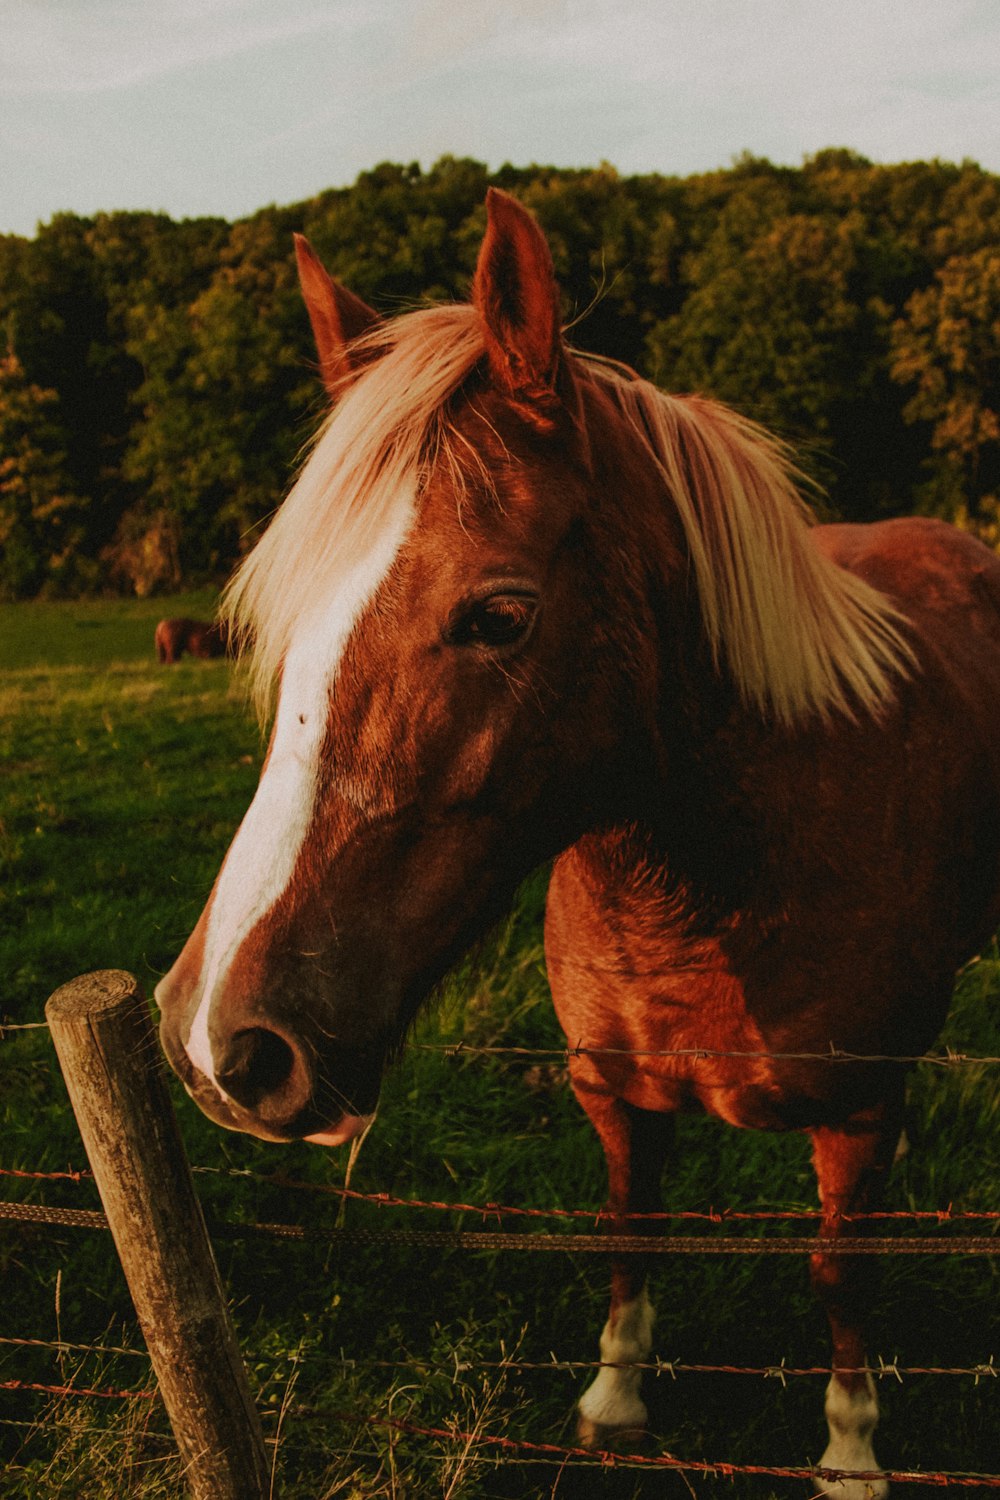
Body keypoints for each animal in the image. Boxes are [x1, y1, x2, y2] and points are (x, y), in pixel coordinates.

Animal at [156, 190, 1000, 1488]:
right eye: (281, 620)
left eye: (499, 615)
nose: (220, 1044)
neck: (706, 895)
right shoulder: (608, 1089)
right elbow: (627, 1228)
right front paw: (615, 1397)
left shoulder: (855, 1118)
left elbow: (836, 1274)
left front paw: (851, 1452)